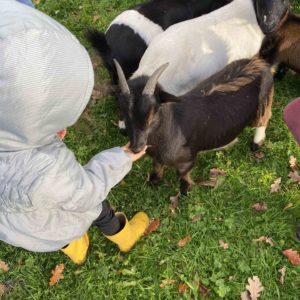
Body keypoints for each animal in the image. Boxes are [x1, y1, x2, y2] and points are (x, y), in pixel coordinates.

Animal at [115, 56, 274, 198]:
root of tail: (260, 63)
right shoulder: (157, 157)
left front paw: (185, 192)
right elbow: (157, 166)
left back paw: (256, 144)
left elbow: (182, 175)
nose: (136, 148)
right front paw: (154, 181)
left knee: (264, 119)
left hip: (263, 104)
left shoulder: (187, 160)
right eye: (123, 111)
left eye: (153, 112)